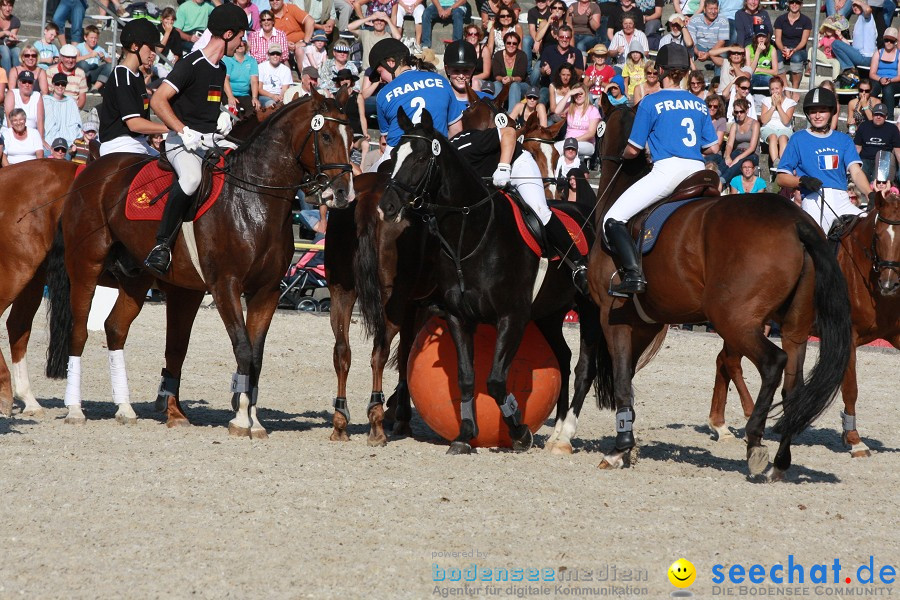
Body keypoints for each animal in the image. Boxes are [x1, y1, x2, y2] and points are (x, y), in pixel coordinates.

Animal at [45, 91, 354, 438]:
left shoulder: (267, 291)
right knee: (79, 332)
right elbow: (242, 348)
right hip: (86, 267)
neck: (255, 199)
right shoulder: (225, 286)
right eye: (325, 136)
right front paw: (240, 420)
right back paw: (75, 409)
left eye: (352, 136)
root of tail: (88, 173)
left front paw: (255, 421)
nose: (342, 193)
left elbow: (256, 355)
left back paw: (124, 409)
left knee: (115, 328)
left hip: (136, 278)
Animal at [376, 110, 600, 452]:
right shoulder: (458, 317)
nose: (387, 206)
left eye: (422, 158)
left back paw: (565, 436)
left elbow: (495, 381)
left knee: (584, 368)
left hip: (588, 310)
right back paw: (557, 431)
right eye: (393, 158)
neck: (471, 234)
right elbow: (467, 378)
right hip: (549, 314)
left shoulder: (512, 317)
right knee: (563, 357)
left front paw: (520, 432)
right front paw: (465, 434)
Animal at [588, 96, 856, 480]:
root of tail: (796, 222)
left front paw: (619, 448)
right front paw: (629, 446)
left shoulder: (614, 318)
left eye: (598, 129)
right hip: (795, 326)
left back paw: (756, 441)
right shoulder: (645, 322)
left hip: (733, 319)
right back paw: (780, 461)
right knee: (793, 384)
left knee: (773, 363)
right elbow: (629, 378)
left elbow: (623, 378)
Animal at [712, 195, 900, 458]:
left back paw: (720, 425)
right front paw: (854, 440)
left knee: (723, 361)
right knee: (731, 363)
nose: (889, 283)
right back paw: (748, 416)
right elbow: (850, 389)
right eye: (878, 235)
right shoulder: (849, 339)